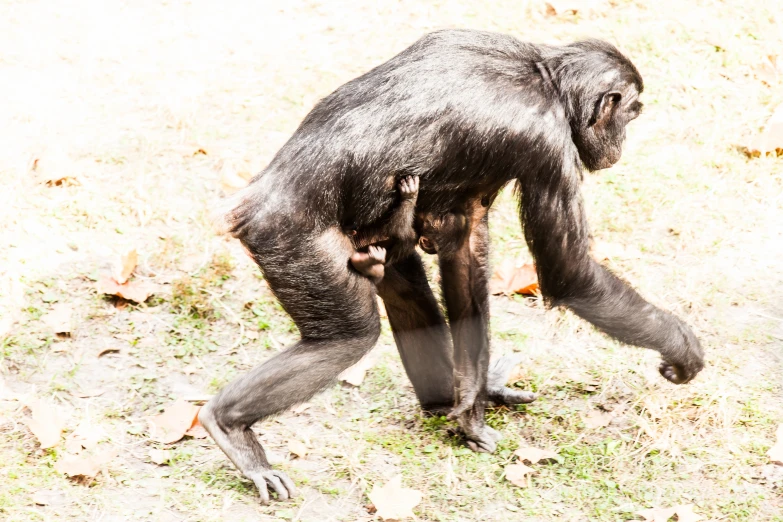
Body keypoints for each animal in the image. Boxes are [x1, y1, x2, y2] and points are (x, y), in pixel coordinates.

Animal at [202, 28, 704, 500]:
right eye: (631, 112)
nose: (624, 139)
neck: (547, 79)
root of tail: (243, 206)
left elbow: (466, 245)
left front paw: (474, 410)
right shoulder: (546, 146)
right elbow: (570, 273)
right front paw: (681, 345)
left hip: (371, 246)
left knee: (410, 298)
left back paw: (450, 399)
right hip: (292, 244)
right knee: (348, 337)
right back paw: (230, 427)